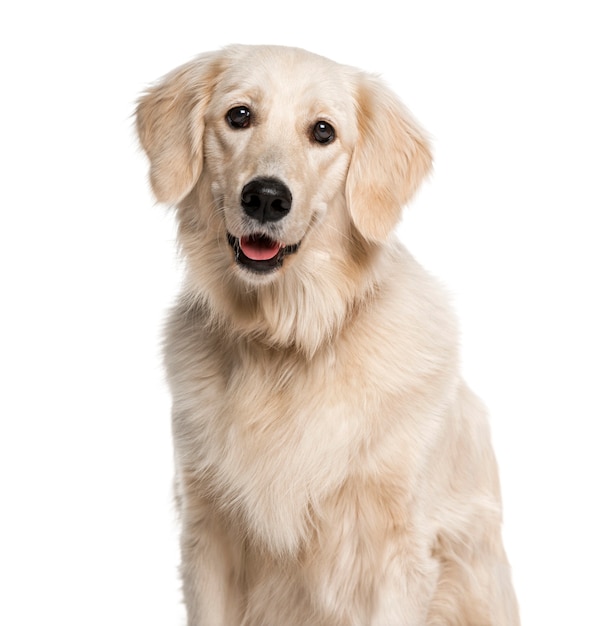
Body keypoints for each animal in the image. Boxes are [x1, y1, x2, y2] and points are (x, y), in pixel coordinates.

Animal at [137, 45, 520, 624]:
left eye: (323, 131)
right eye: (239, 115)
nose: (265, 198)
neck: (288, 336)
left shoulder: (397, 553)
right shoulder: (208, 534)